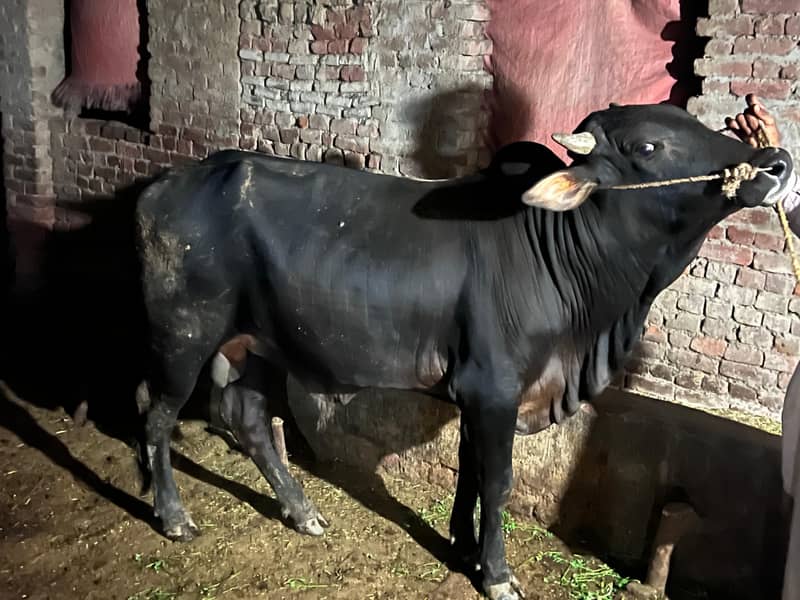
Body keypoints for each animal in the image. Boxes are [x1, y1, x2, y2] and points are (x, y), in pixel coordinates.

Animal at [134, 104, 793, 600]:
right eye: (650, 147)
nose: (775, 162)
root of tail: (167, 183)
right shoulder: (494, 388)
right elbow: (496, 480)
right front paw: (497, 575)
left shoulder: (476, 394)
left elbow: (470, 471)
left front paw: (461, 547)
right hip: (183, 336)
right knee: (156, 415)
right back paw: (174, 517)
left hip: (258, 345)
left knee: (249, 421)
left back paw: (303, 512)